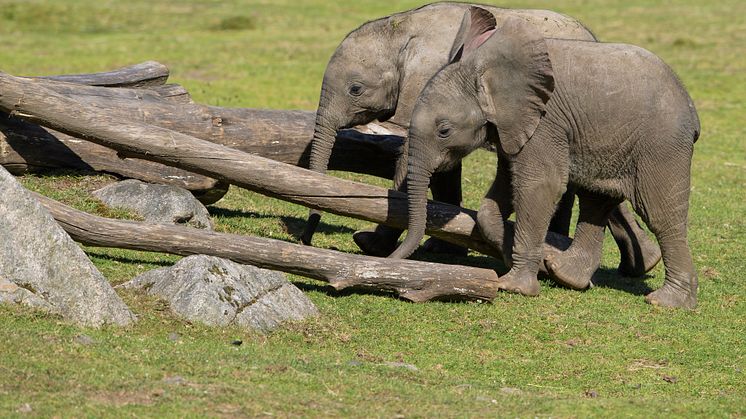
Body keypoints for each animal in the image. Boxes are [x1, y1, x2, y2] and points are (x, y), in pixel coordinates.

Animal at [300, 3, 660, 282]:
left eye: (355, 89)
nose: (306, 241)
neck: (404, 28)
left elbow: (414, 156)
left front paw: (371, 245)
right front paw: (440, 247)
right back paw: (640, 263)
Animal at [390, 6, 696, 308]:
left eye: (444, 131)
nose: (391, 259)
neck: (485, 69)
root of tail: (690, 104)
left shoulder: (544, 121)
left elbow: (538, 185)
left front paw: (514, 286)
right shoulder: (511, 126)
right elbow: (498, 197)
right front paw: (525, 260)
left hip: (661, 143)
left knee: (660, 214)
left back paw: (667, 302)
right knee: (596, 201)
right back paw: (567, 274)